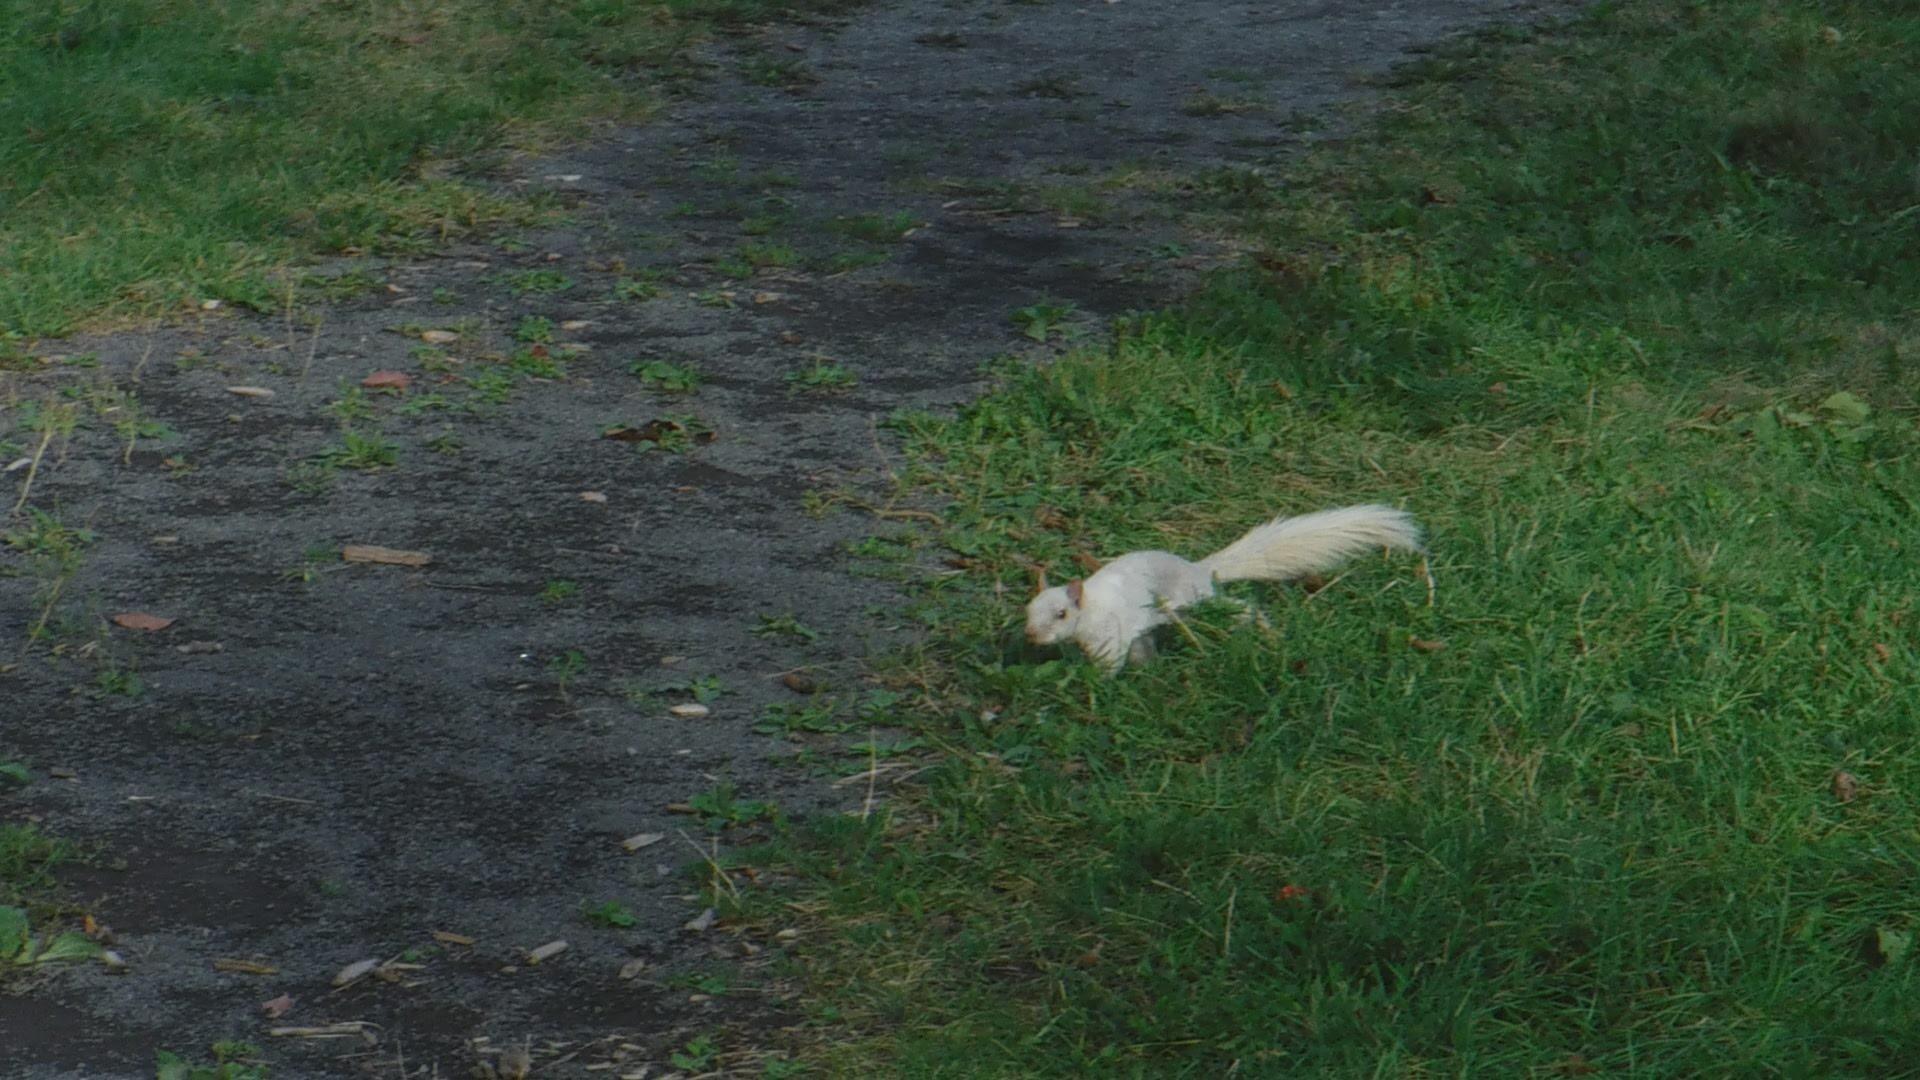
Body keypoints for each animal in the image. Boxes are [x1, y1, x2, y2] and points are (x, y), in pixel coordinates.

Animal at [1021, 503, 1428, 668]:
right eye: (1027, 611)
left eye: (1061, 613)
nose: (1031, 637)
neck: (1090, 607)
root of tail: (1200, 571)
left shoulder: (1110, 635)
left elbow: (1110, 663)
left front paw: (1098, 685)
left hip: (1192, 602)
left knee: (1243, 609)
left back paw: (1266, 632)